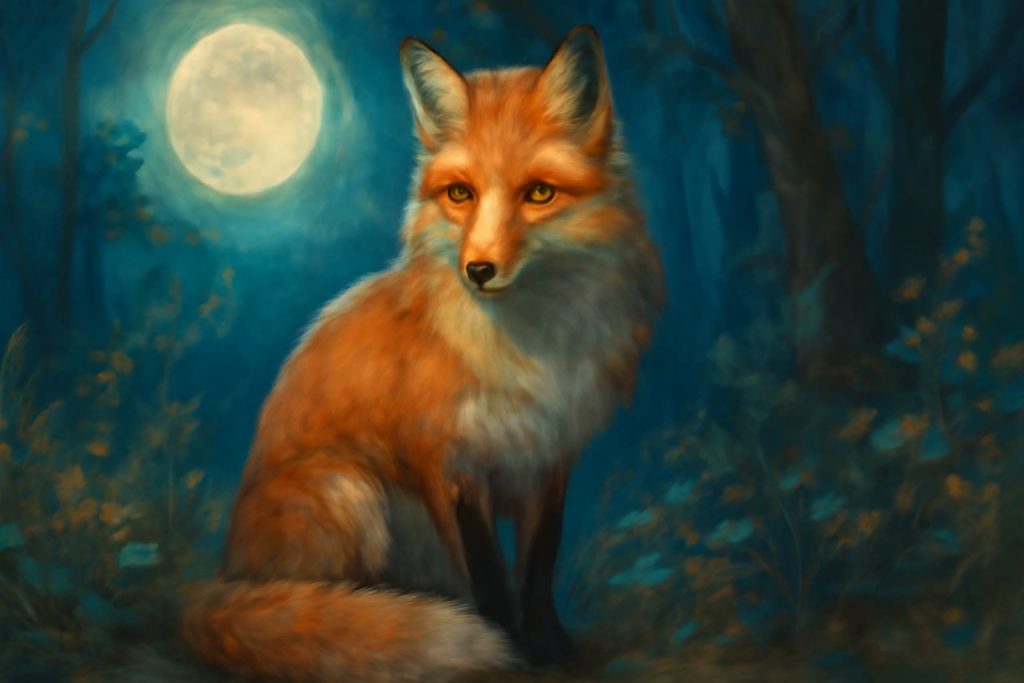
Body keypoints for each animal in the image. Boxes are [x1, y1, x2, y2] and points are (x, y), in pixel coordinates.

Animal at [182, 24, 664, 683]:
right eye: (461, 193)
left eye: (539, 193)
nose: (478, 270)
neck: (526, 353)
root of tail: (224, 575)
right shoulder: (451, 462)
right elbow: (489, 578)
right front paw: (506, 650)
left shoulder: (549, 456)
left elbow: (538, 568)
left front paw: (550, 648)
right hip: (349, 491)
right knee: (323, 606)